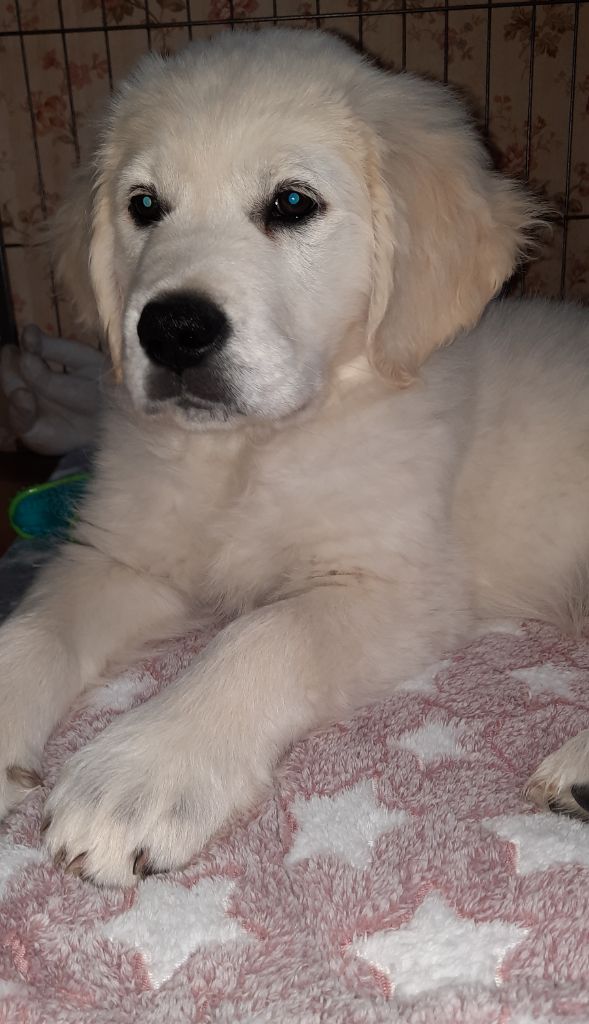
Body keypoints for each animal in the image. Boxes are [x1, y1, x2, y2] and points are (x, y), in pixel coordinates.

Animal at [1, 28, 588, 886]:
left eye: (291, 204)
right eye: (143, 206)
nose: (172, 329)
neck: (251, 451)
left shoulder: (399, 586)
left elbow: (260, 636)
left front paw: (141, 771)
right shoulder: (123, 552)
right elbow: (38, 625)